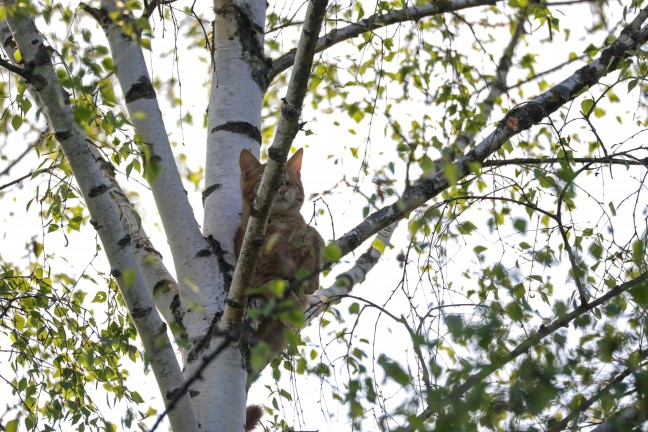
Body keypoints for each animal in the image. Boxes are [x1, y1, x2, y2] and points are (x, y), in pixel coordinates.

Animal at [234, 147, 322, 352]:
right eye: (266, 183)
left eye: (287, 182)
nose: (282, 190)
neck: (281, 225)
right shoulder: (261, 277)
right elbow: (282, 291)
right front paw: (296, 312)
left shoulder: (312, 234)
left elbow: (316, 246)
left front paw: (312, 281)